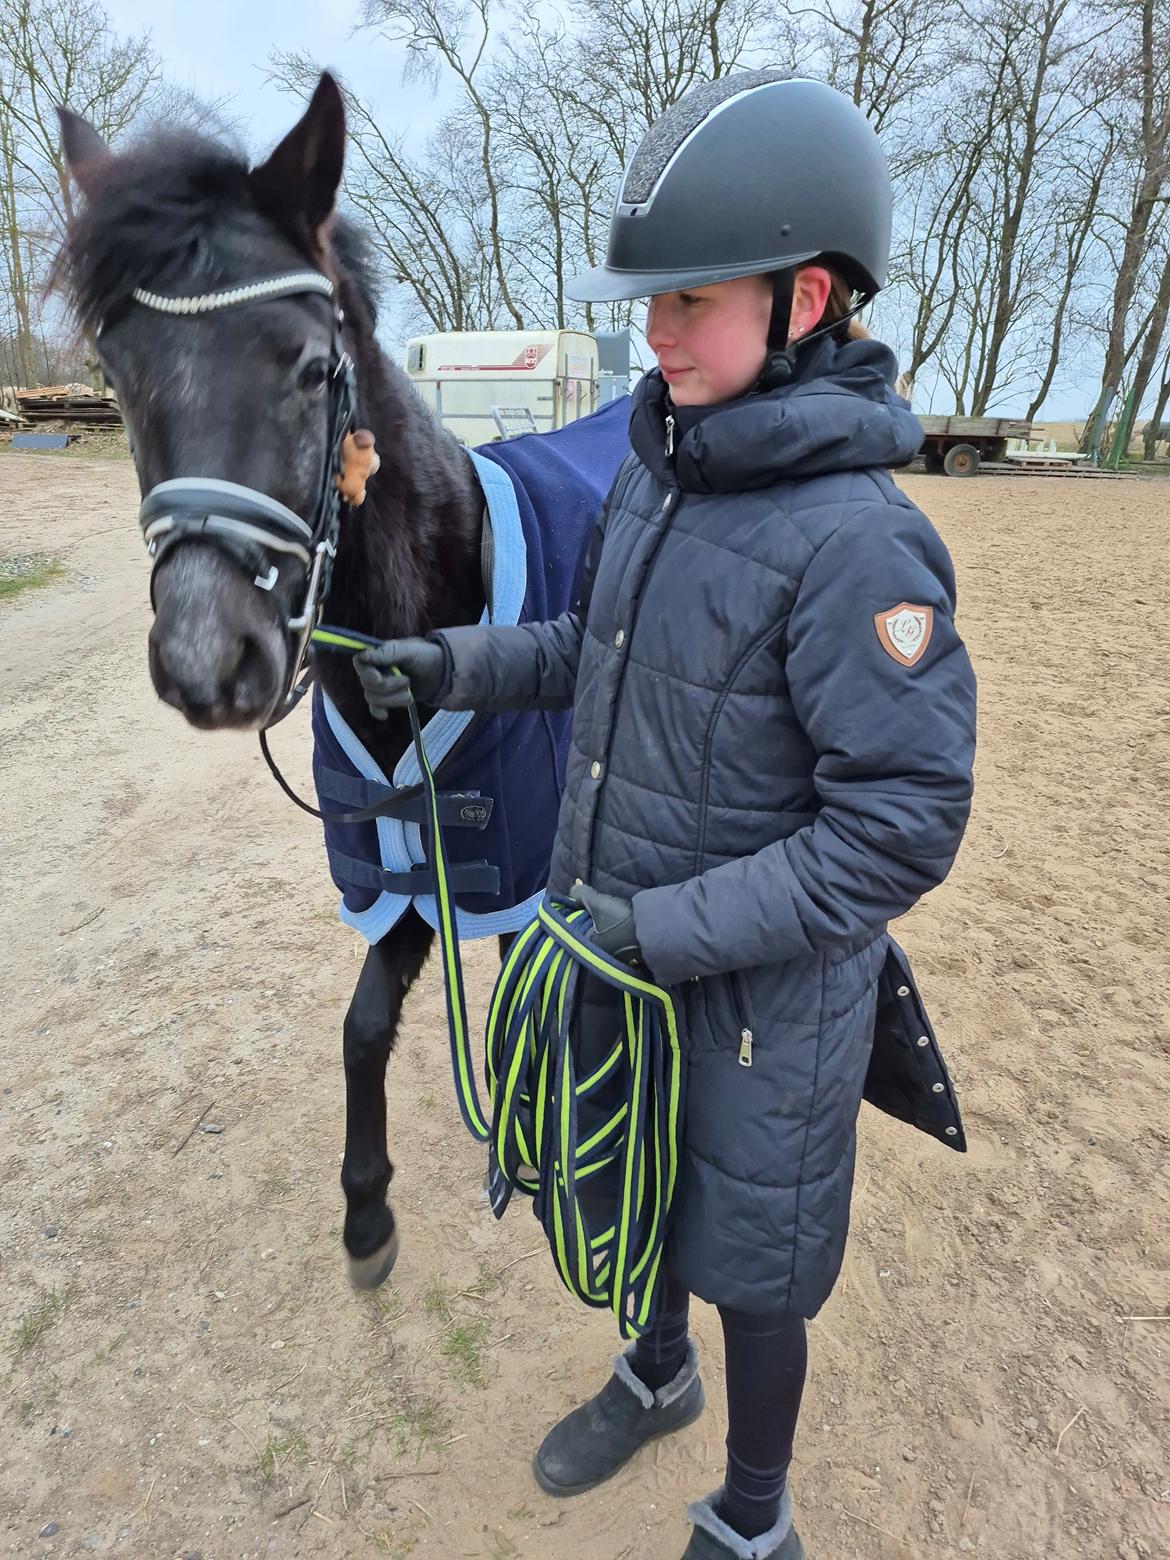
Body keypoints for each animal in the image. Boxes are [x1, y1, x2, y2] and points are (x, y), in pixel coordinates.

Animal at [55, 73, 624, 1292]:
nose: (205, 661)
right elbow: (363, 1028)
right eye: (116, 378)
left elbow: (517, 987)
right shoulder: (391, 870)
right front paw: (367, 1209)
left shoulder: (510, 854)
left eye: (314, 368)